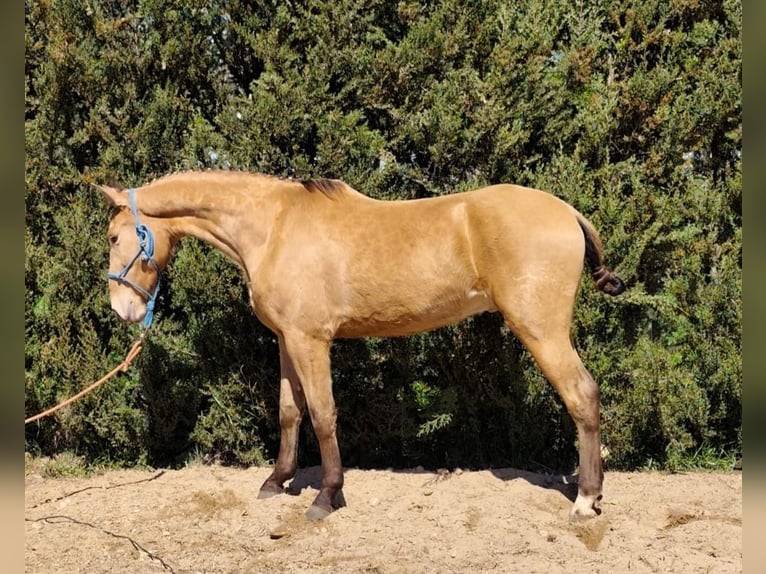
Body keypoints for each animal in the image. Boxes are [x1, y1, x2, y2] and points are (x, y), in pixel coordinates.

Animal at [96, 169, 625, 523]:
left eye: (115, 236)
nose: (123, 309)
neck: (273, 227)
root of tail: (566, 211)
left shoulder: (311, 340)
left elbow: (323, 414)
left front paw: (327, 496)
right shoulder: (286, 341)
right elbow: (289, 412)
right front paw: (276, 481)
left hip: (541, 330)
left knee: (583, 396)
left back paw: (585, 499)